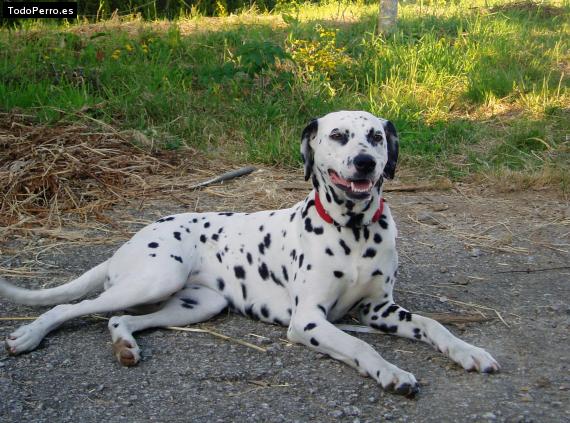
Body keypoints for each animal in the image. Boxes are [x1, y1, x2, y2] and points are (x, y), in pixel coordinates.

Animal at [0, 111, 496, 396]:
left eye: (375, 136)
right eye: (338, 136)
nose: (365, 162)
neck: (352, 230)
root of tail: (134, 238)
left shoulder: (381, 309)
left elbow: (432, 325)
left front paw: (468, 351)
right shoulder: (309, 321)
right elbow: (360, 345)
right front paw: (391, 372)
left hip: (198, 304)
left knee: (119, 319)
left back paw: (125, 344)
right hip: (156, 278)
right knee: (69, 306)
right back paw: (29, 335)